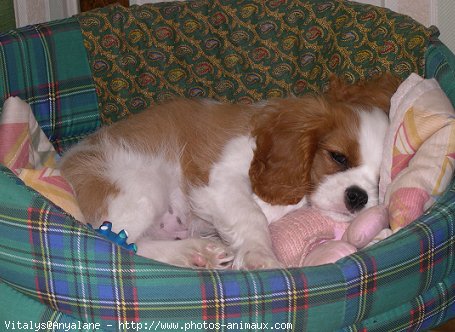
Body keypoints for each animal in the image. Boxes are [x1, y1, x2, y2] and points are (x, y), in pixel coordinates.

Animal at [60, 73, 400, 270]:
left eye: (380, 180)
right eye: (338, 157)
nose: (357, 197)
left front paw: (378, 234)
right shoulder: (220, 181)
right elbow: (252, 215)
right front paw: (261, 257)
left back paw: (196, 253)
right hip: (138, 188)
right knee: (113, 242)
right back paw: (195, 251)